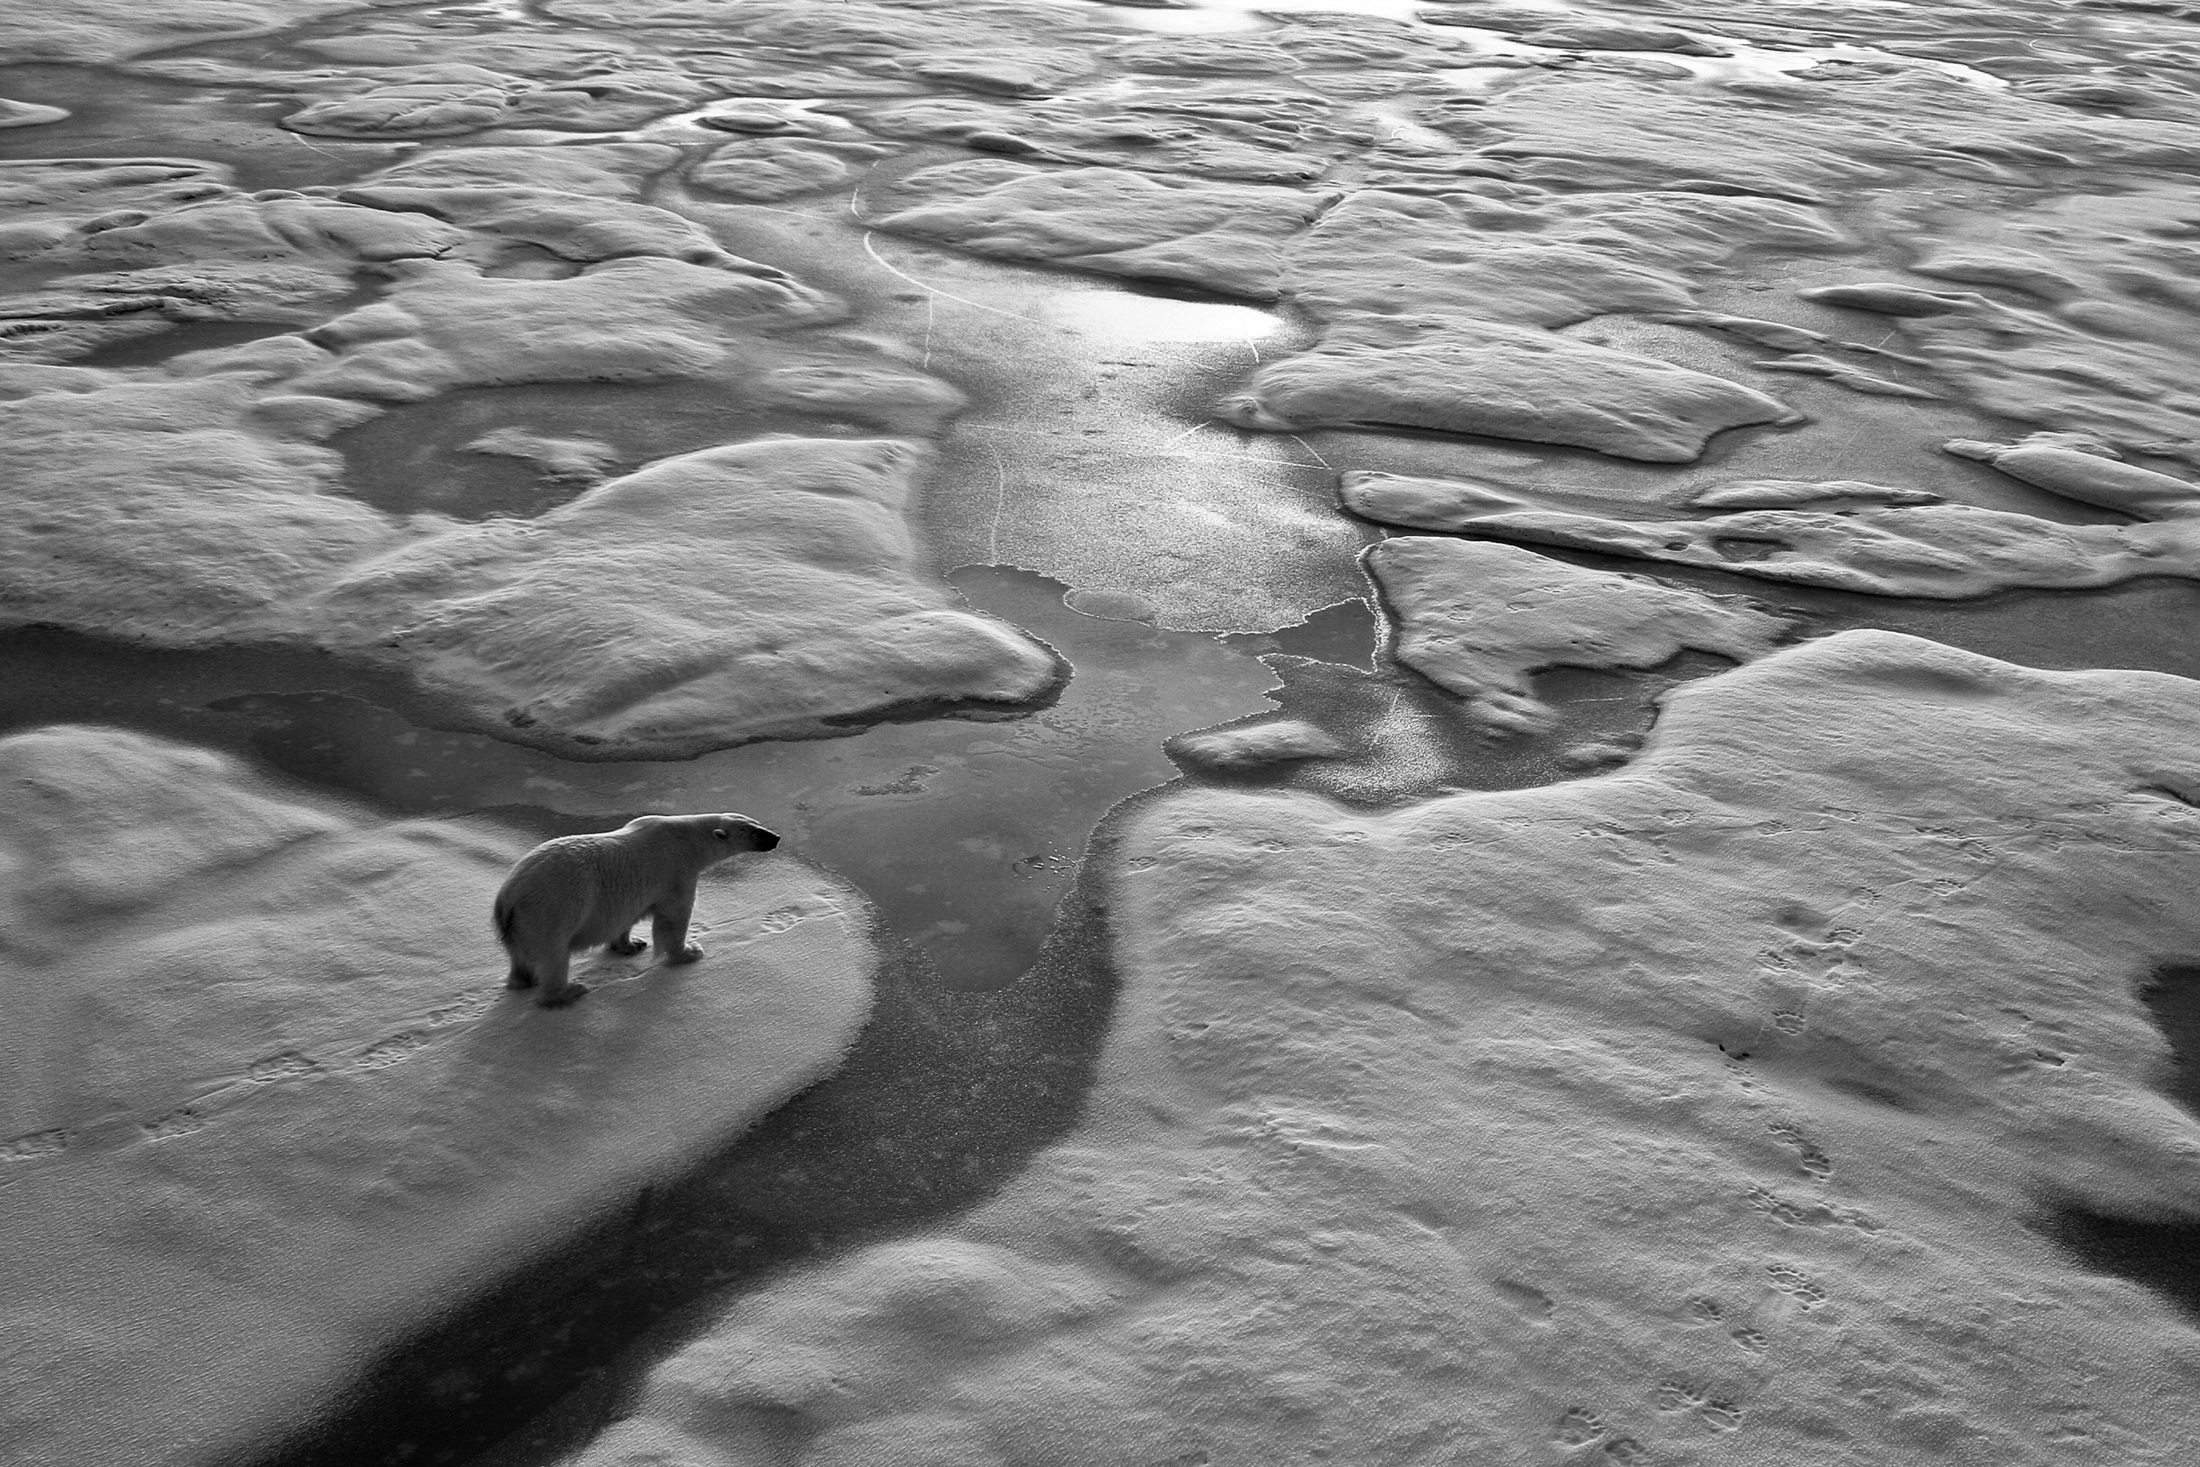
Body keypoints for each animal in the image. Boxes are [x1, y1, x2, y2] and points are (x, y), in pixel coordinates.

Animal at [493, 813, 781, 1008]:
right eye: (751, 831)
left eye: (756, 823)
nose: (776, 837)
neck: (686, 840)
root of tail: (507, 898)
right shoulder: (676, 873)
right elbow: (673, 918)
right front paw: (690, 951)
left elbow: (627, 918)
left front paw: (632, 945)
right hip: (550, 910)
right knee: (554, 956)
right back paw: (569, 991)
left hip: (519, 926)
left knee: (519, 958)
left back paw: (524, 981)